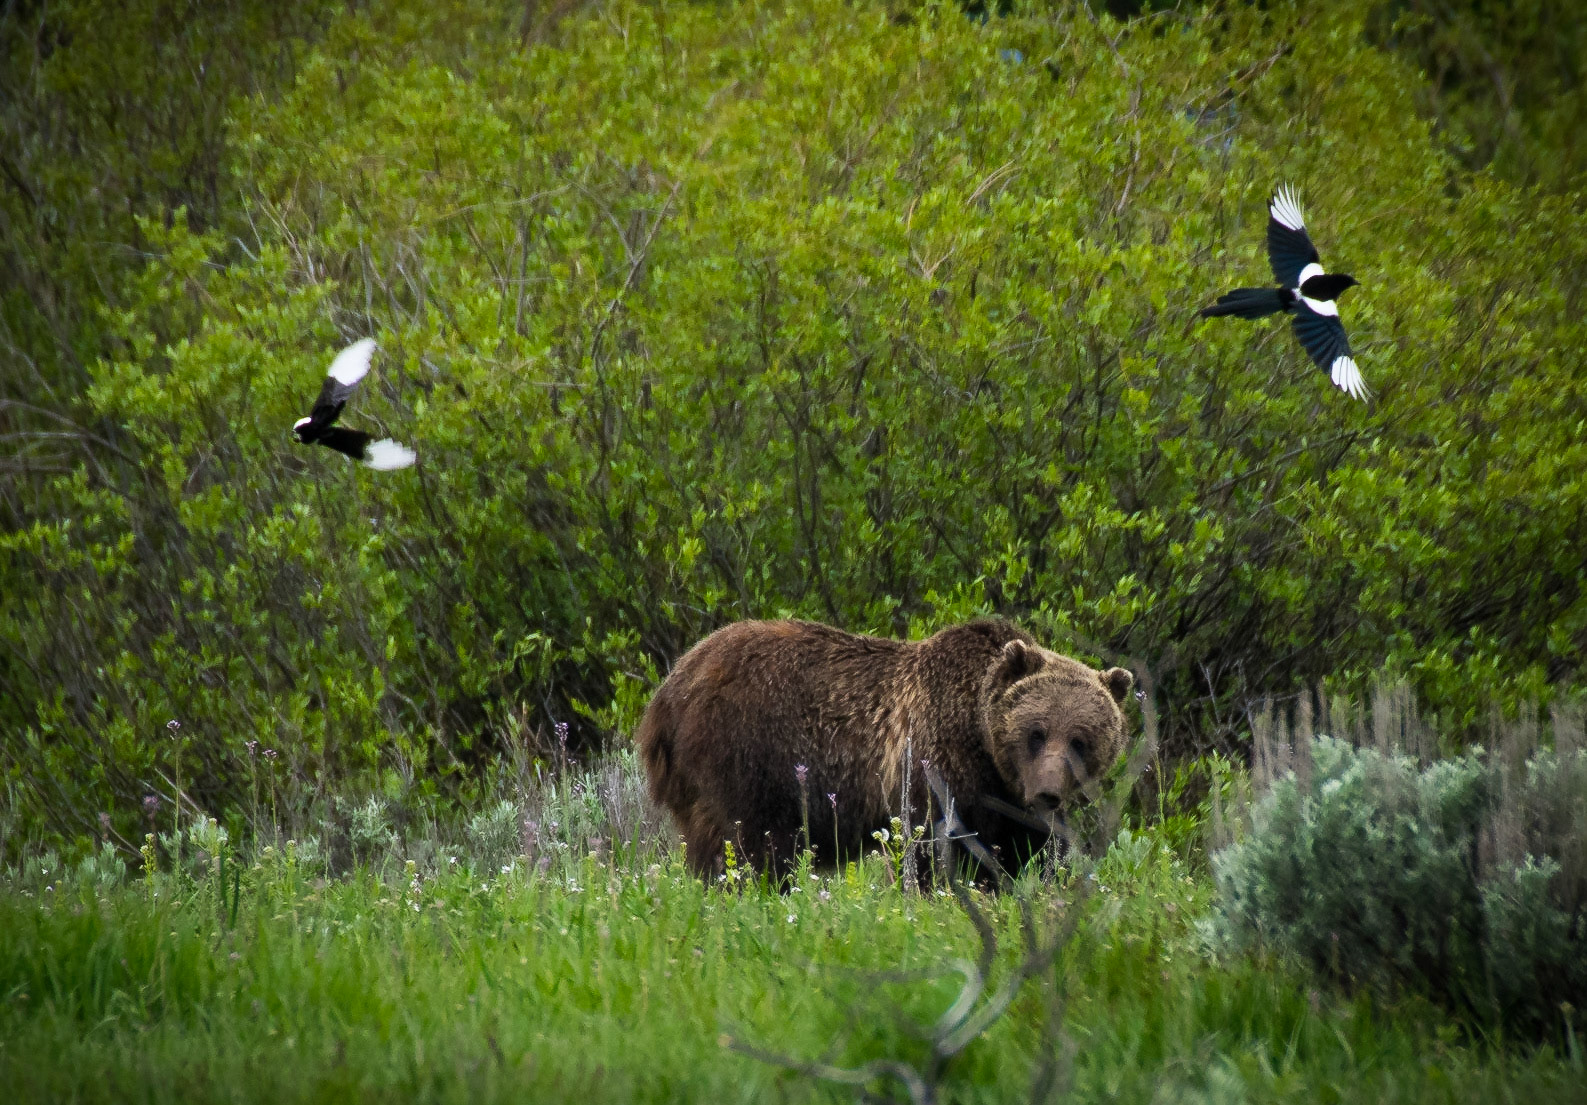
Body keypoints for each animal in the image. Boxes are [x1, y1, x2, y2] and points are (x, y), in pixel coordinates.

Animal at [636, 618, 1134, 878]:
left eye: (1081, 740)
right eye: (1036, 731)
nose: (1048, 792)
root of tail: (668, 690)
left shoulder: (1010, 800)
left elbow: (1024, 852)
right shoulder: (938, 762)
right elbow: (935, 841)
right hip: (747, 755)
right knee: (747, 842)